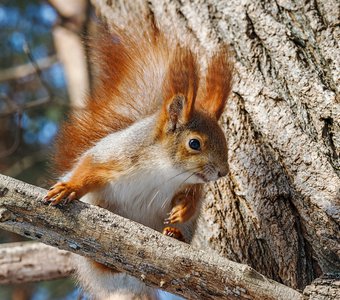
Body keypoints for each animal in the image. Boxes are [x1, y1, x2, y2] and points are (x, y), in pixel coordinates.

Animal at [43, 21, 232, 300]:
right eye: (194, 143)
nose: (223, 172)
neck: (164, 170)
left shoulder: (188, 184)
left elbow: (192, 198)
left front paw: (182, 210)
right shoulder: (116, 154)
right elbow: (89, 167)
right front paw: (70, 187)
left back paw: (175, 234)